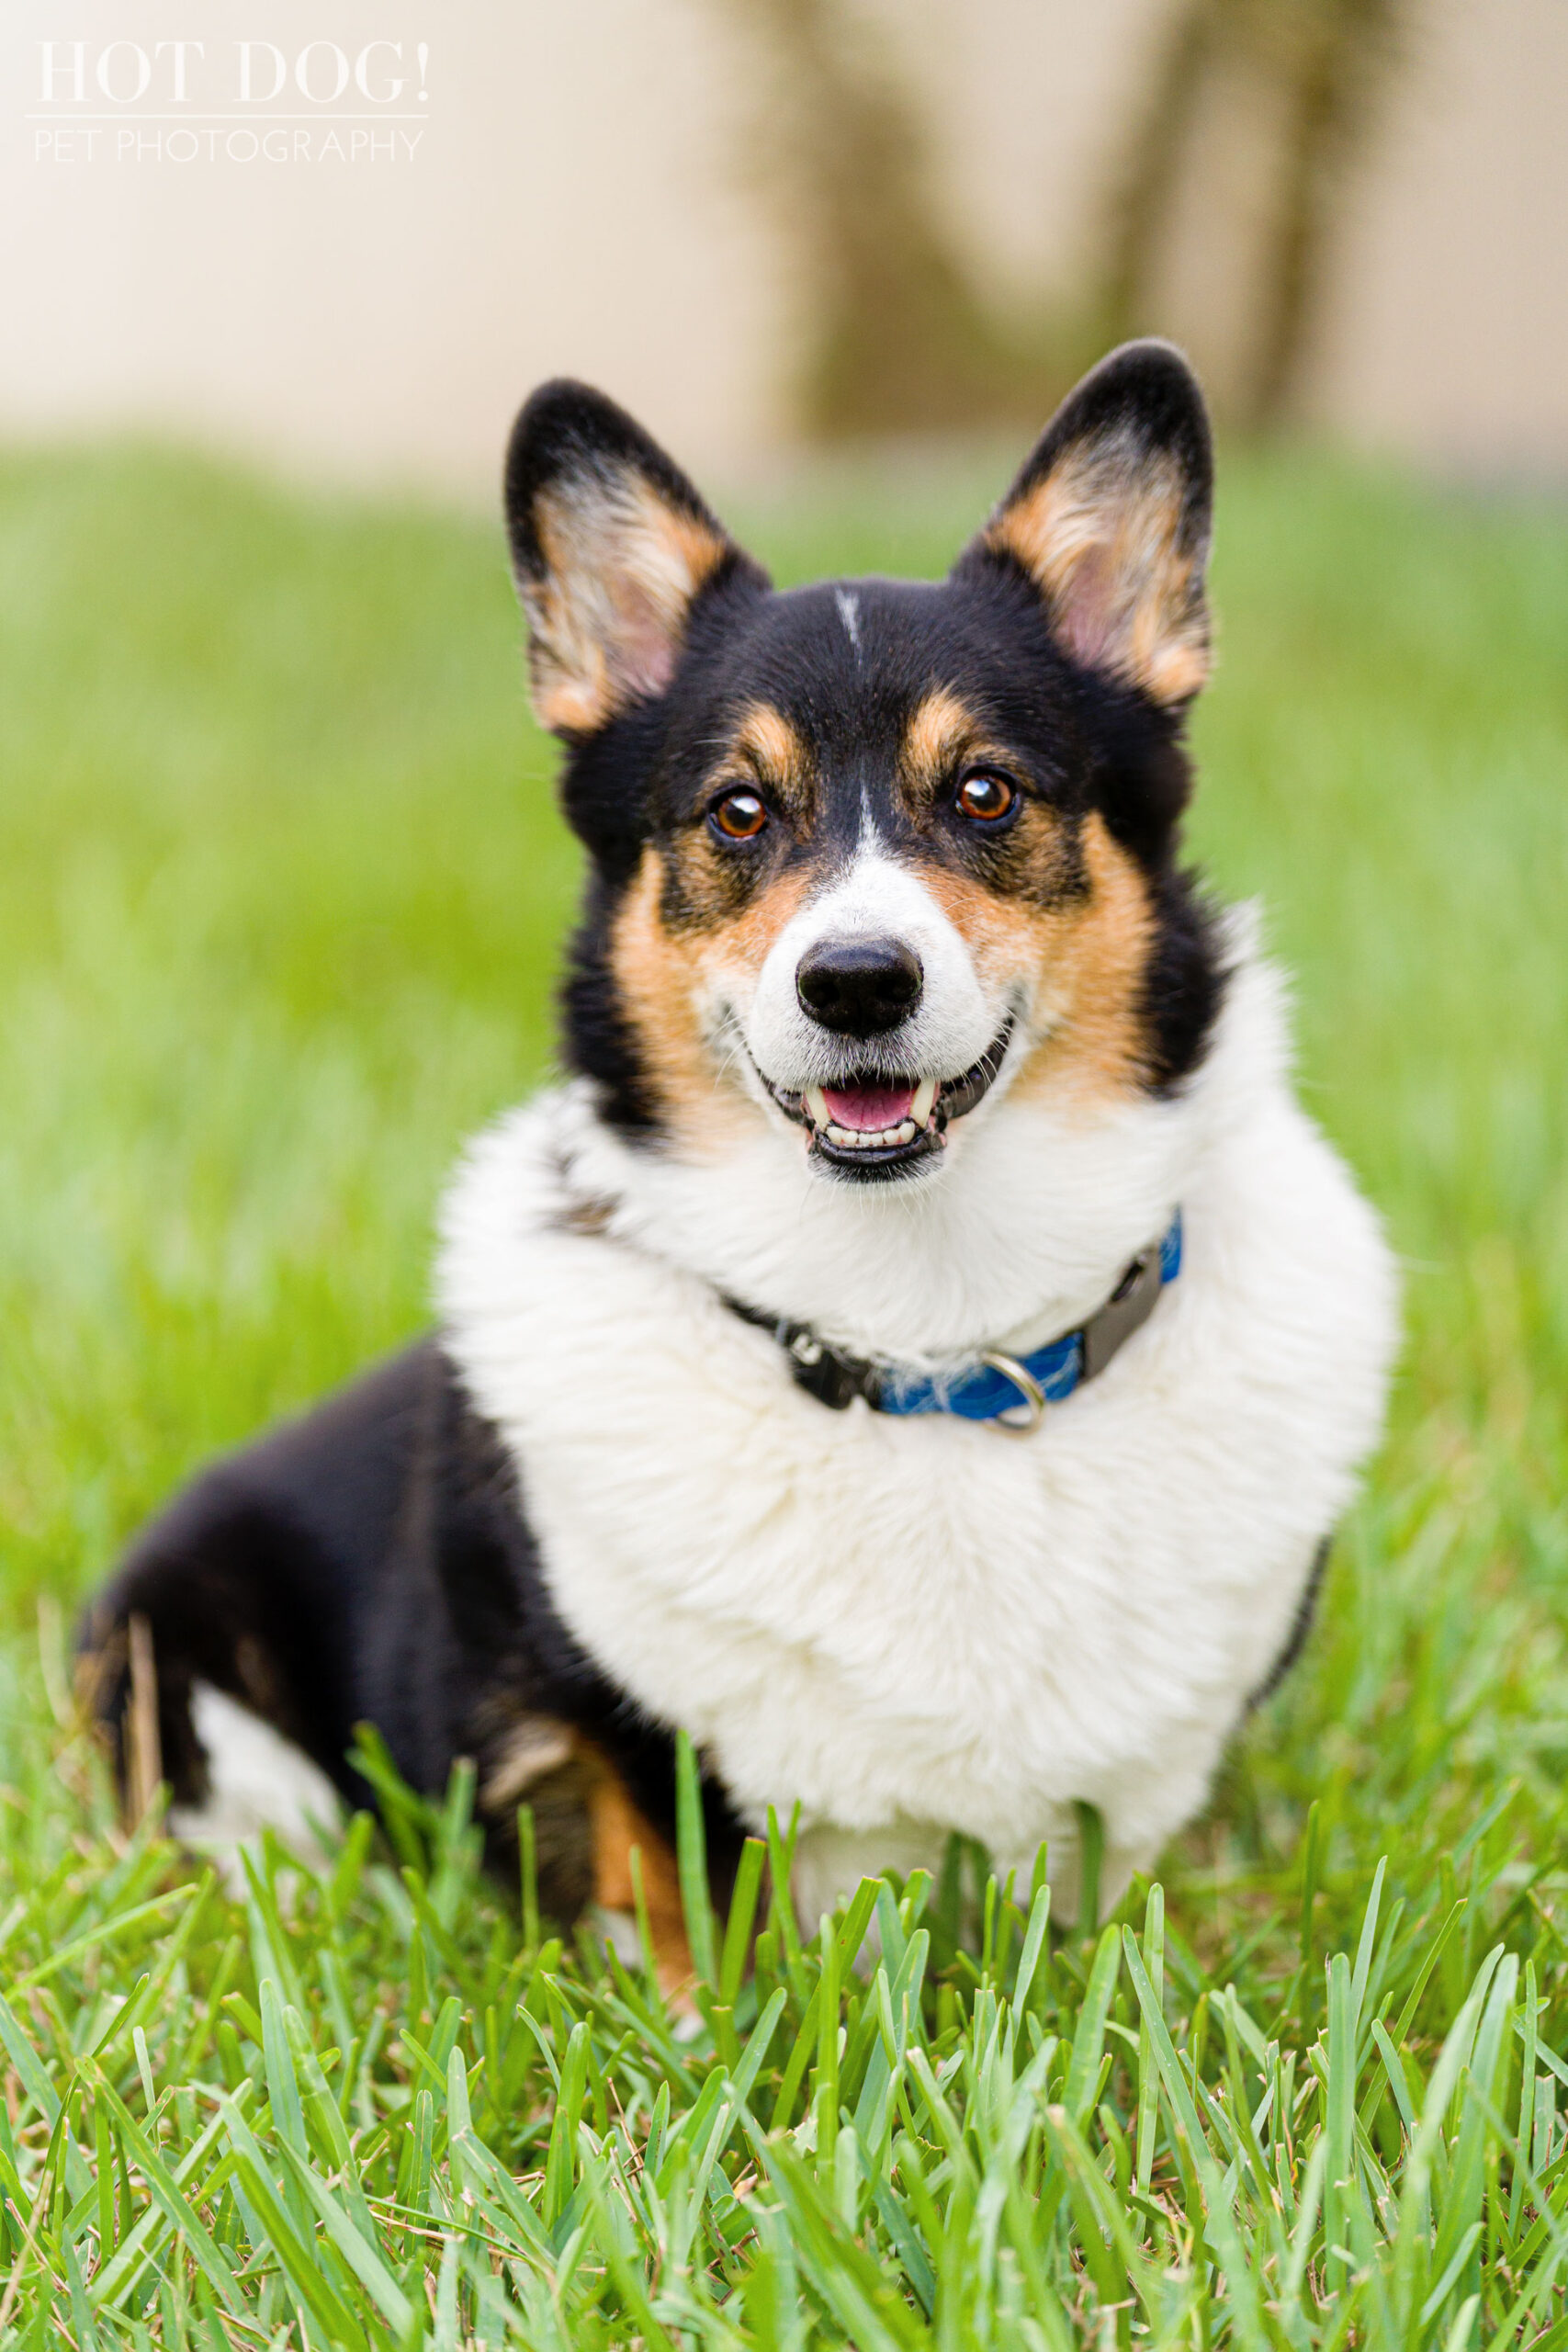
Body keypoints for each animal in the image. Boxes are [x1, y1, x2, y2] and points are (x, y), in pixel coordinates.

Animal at [83, 341, 1401, 1975]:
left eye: (983, 793)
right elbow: (688, 1920)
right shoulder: (607, 1731)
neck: (925, 1341)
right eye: (736, 812)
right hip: (183, 1669)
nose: (854, 984)